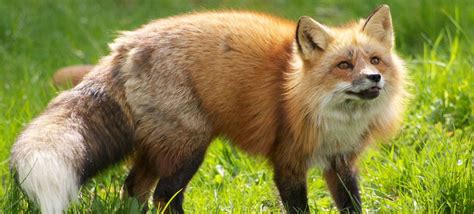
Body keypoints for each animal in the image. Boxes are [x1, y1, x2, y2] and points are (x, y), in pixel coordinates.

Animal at [9, 4, 408, 213]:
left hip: (159, 149)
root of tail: (126, 44)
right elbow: (298, 207)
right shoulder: (288, 161)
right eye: (344, 65)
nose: (374, 78)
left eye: (375, 60)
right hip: (189, 148)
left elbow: (352, 206)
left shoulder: (342, 162)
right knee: (164, 196)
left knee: (134, 188)